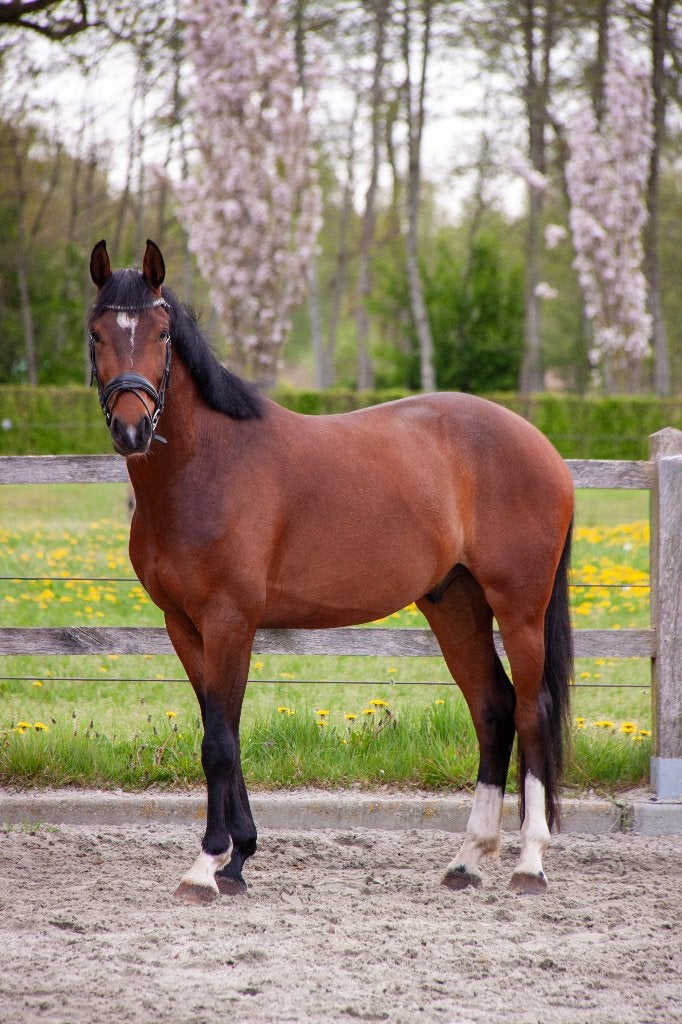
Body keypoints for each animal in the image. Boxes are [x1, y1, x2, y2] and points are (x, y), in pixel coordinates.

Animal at [88, 239, 574, 903]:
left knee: (532, 711)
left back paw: (529, 863)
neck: (207, 467)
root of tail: (544, 448)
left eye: (162, 333)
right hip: (455, 605)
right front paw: (237, 859)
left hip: (519, 607)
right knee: (494, 709)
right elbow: (222, 730)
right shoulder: (183, 626)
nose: (132, 428)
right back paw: (468, 859)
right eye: (97, 333)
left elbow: (219, 743)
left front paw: (206, 867)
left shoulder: (229, 620)